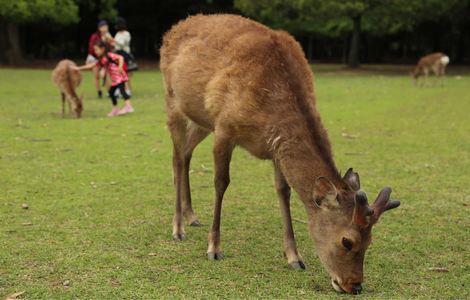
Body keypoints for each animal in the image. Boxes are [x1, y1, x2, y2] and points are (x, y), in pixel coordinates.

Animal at [160, 14, 398, 296]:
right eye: (347, 241)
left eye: (370, 240)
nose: (355, 285)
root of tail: (174, 28)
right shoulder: (224, 128)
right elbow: (221, 183)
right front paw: (214, 249)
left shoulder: (274, 149)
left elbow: (283, 192)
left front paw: (295, 258)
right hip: (173, 103)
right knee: (176, 158)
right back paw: (178, 228)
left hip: (200, 120)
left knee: (186, 154)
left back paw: (192, 216)